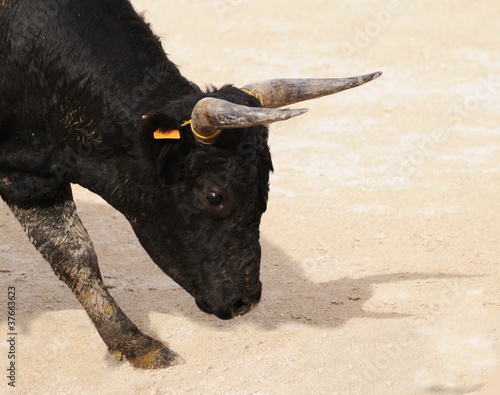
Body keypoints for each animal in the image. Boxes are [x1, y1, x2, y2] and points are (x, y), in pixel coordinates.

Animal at [0, 0, 380, 372]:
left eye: (266, 187)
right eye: (214, 195)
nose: (245, 301)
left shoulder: (32, 179)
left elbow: (73, 254)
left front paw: (135, 345)